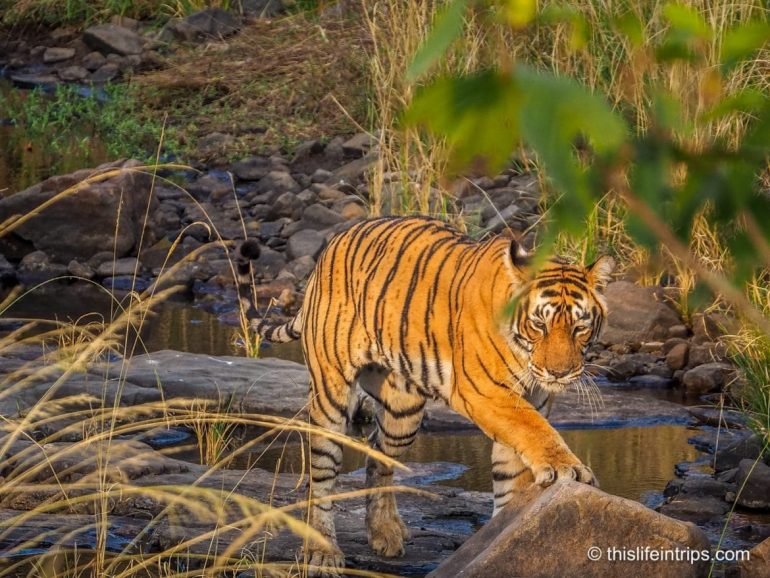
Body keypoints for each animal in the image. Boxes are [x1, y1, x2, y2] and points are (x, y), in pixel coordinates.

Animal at [236, 216, 614, 577]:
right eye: (539, 324)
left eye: (580, 328)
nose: (559, 373)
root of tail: (333, 243)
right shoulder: (486, 391)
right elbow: (536, 432)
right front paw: (570, 468)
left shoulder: (531, 401)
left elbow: (513, 472)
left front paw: (505, 534)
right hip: (331, 394)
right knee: (321, 475)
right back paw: (322, 552)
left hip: (402, 413)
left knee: (377, 457)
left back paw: (385, 533)